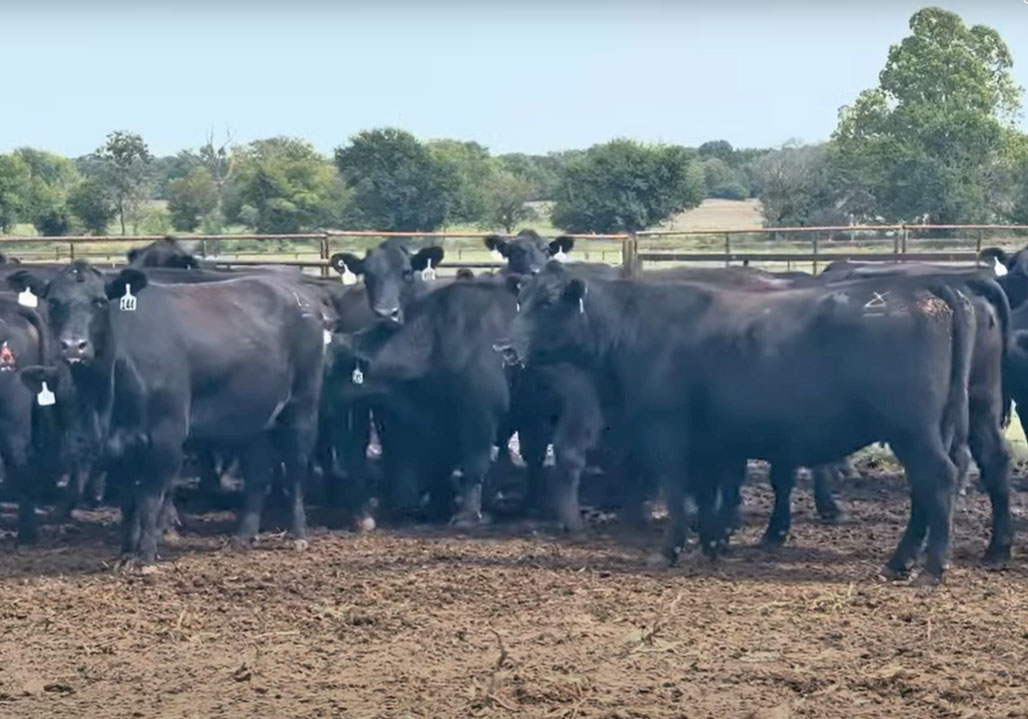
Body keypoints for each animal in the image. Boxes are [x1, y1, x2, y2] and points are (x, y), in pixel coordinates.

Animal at [10, 261, 326, 569]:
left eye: (98, 301)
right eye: (53, 302)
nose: (74, 345)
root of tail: (298, 296)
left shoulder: (166, 439)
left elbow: (150, 499)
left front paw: (147, 557)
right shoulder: (119, 448)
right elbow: (128, 502)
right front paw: (126, 553)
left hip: (302, 407)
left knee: (296, 470)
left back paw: (298, 535)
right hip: (255, 422)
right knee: (259, 474)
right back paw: (243, 537)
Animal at [504, 261, 986, 583]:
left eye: (548, 302)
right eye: (520, 300)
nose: (505, 348)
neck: (640, 328)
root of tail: (920, 287)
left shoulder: (668, 431)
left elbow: (679, 494)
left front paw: (670, 550)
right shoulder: (711, 439)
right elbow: (708, 495)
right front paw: (711, 545)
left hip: (912, 429)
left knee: (938, 480)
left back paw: (930, 569)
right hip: (928, 430)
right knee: (925, 488)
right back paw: (898, 562)